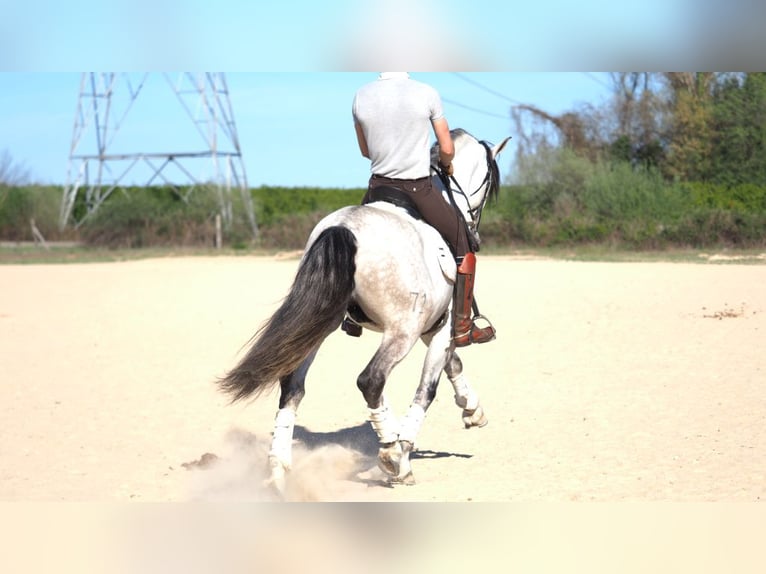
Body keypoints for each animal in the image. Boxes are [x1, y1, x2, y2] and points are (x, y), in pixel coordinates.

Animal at [219, 129, 512, 490]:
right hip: (400, 332)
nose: (475, 232)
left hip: (317, 326)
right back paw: (393, 457)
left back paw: (278, 470)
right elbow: (428, 388)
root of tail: (343, 228)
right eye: (489, 181)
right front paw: (404, 447)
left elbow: (452, 364)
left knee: (292, 385)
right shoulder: (437, 327)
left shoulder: (434, 326)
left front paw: (472, 410)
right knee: (371, 380)